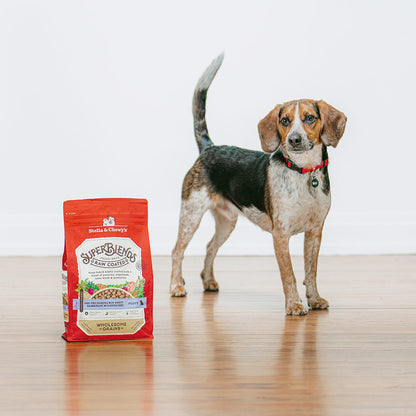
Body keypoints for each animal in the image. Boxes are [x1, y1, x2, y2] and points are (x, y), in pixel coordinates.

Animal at [170, 55, 348, 316]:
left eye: (310, 118)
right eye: (284, 121)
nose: (294, 140)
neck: (303, 173)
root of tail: (209, 148)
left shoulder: (315, 232)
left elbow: (311, 272)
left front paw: (314, 300)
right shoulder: (280, 235)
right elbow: (289, 275)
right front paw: (294, 305)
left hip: (227, 222)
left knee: (210, 246)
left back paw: (209, 281)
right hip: (190, 215)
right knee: (177, 251)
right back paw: (176, 286)